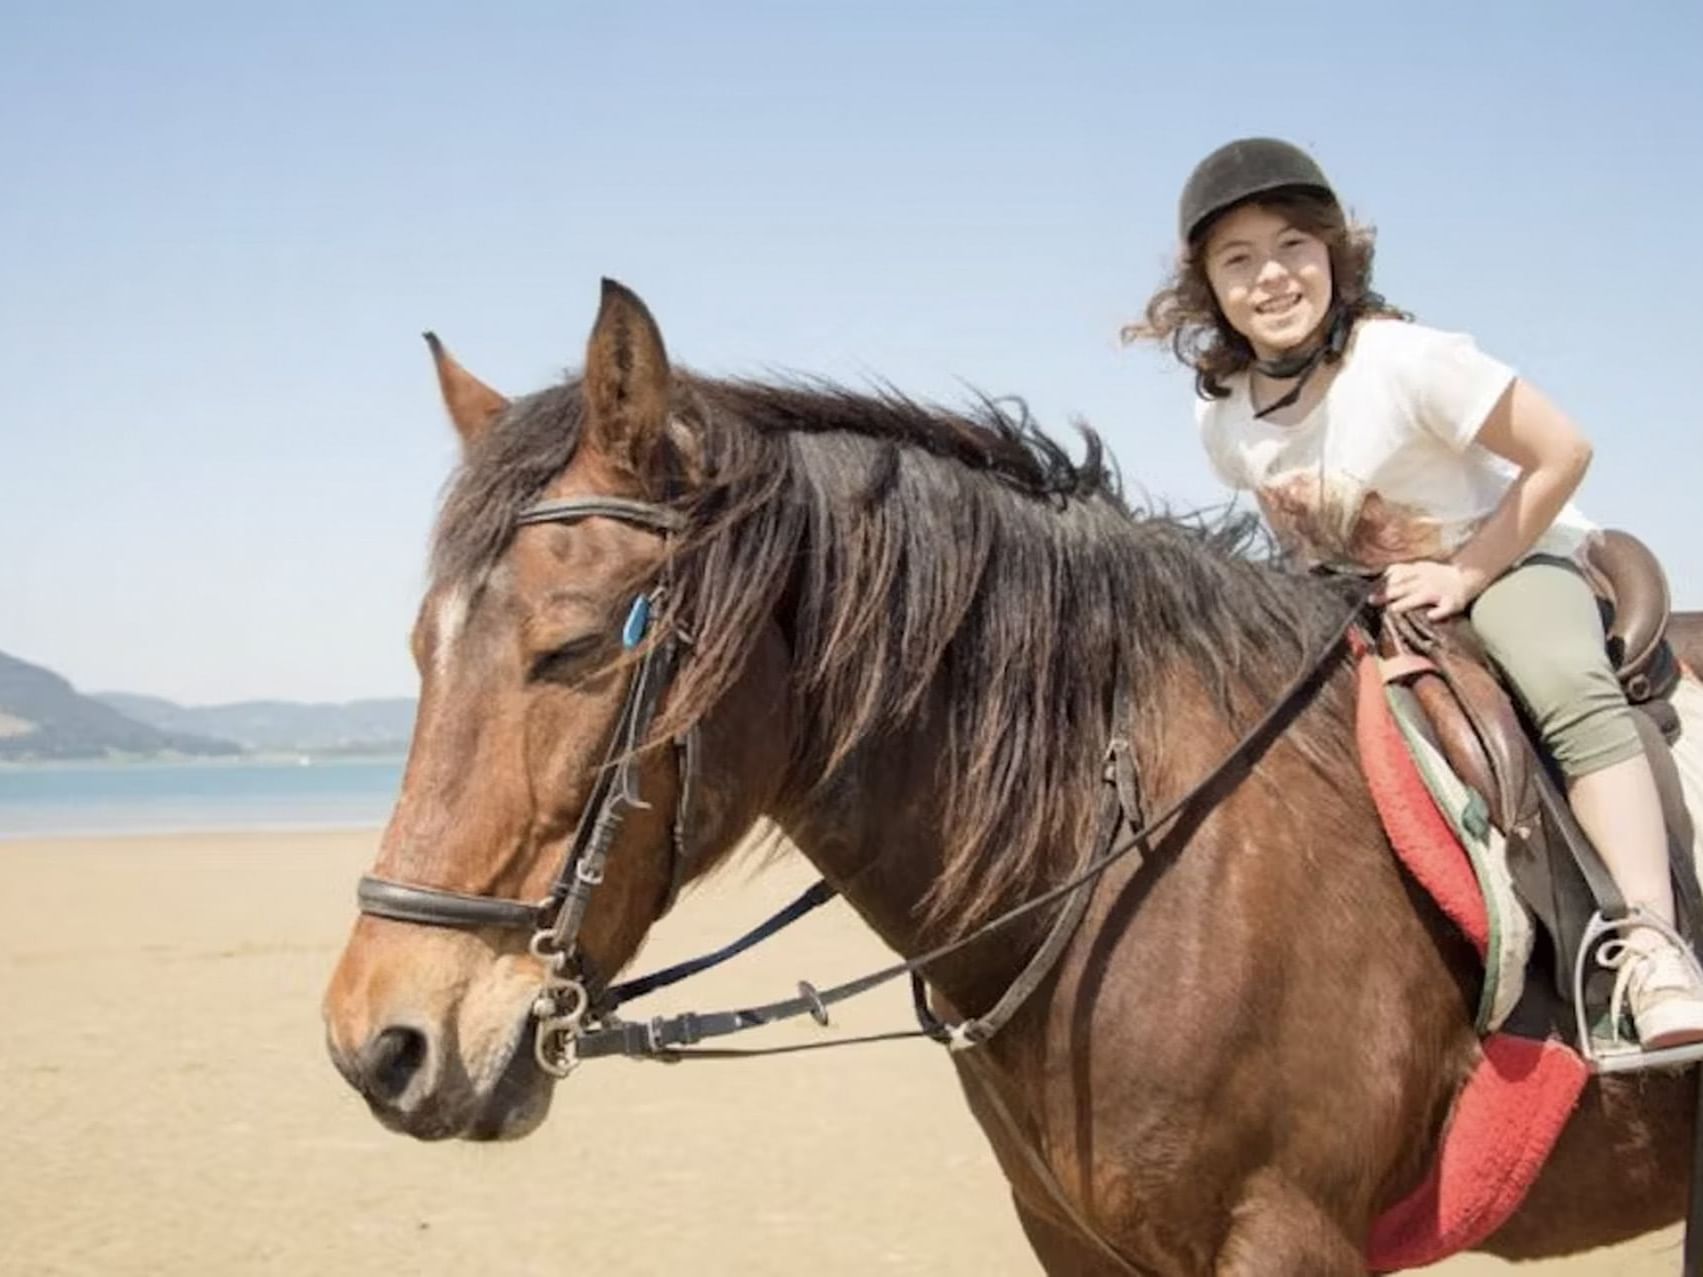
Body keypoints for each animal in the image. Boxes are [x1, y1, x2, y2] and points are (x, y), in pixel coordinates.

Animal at [321, 282, 1703, 1277]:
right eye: (422, 647)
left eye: (571, 646)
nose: (376, 1045)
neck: (1125, 855)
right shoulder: (1076, 1241)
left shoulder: (1287, 1238)